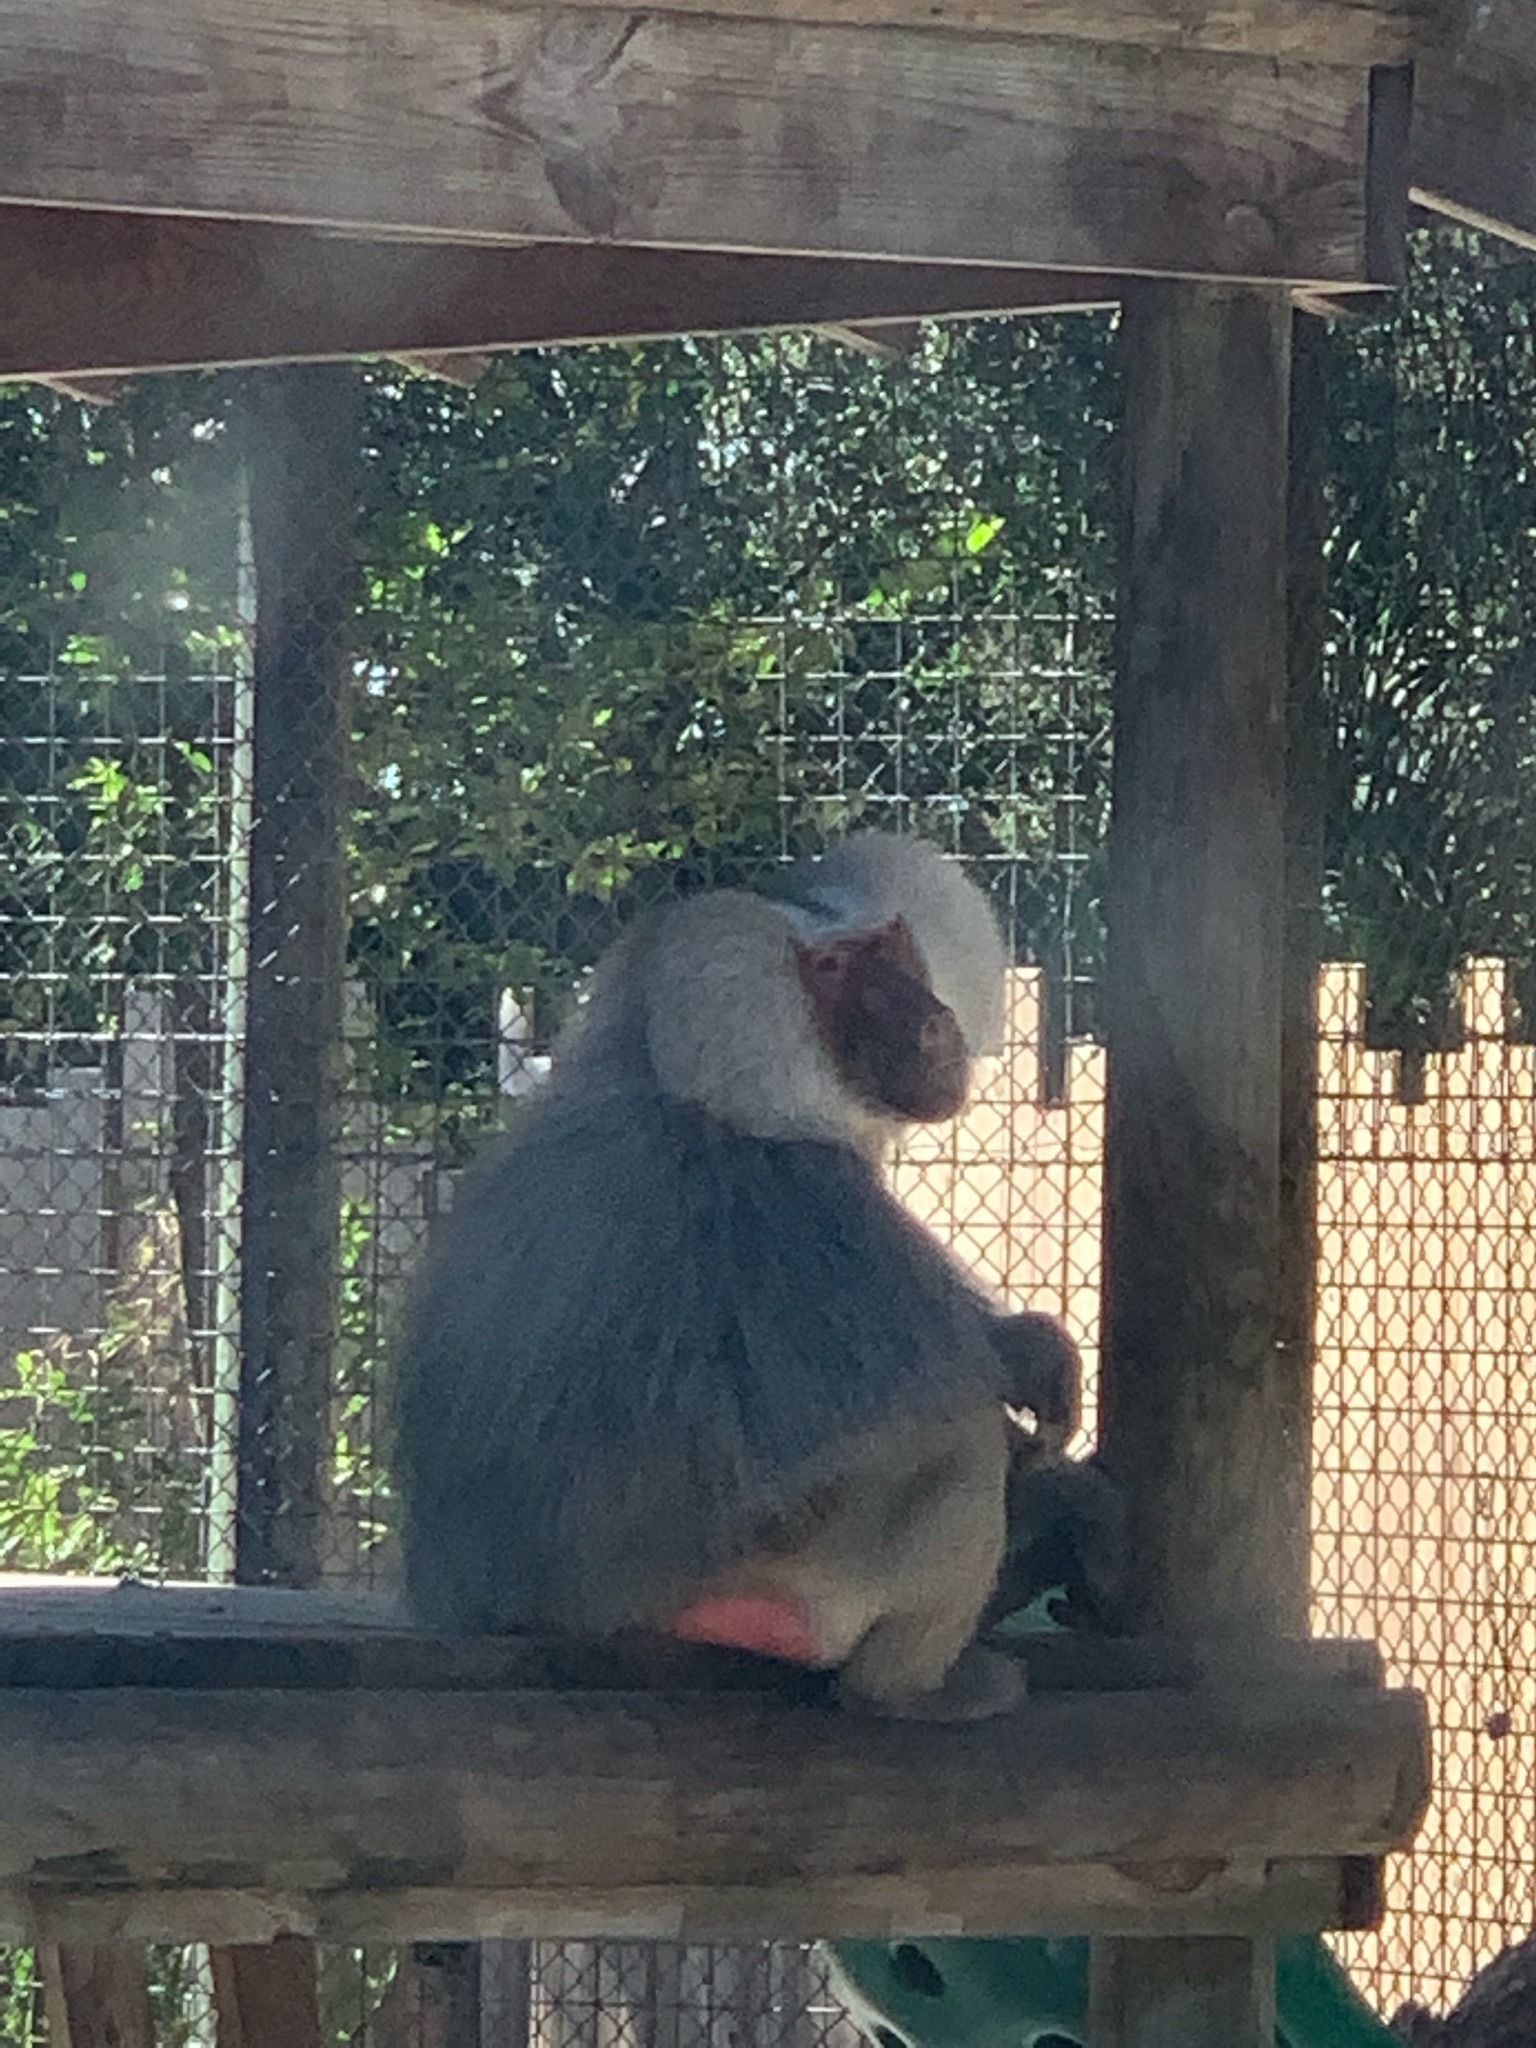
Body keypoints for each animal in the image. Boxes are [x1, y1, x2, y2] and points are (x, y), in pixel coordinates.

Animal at [394, 832, 1120, 1719]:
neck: (672, 1071)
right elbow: (939, 1389)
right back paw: (912, 1691)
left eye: (889, 948)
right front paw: (1038, 1365)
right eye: (832, 971)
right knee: (957, 1445)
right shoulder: (808, 1200)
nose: (931, 1026)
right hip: (789, 1579)